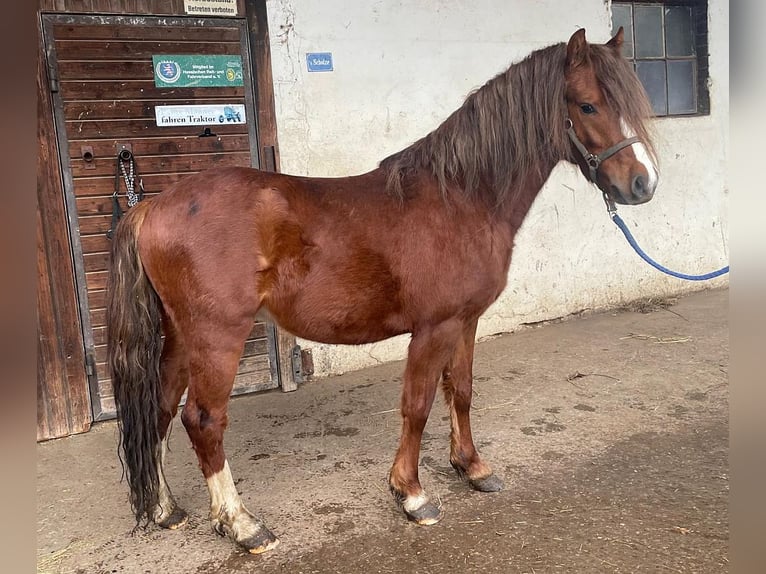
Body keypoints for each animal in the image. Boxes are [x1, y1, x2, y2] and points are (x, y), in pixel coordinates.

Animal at [108, 28, 660, 560]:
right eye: (587, 105)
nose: (642, 184)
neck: (461, 196)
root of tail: (152, 206)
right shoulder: (434, 327)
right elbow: (417, 405)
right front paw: (411, 493)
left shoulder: (466, 320)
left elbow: (461, 392)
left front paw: (472, 468)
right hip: (217, 336)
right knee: (202, 419)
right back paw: (242, 525)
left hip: (181, 337)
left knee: (159, 408)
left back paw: (164, 508)